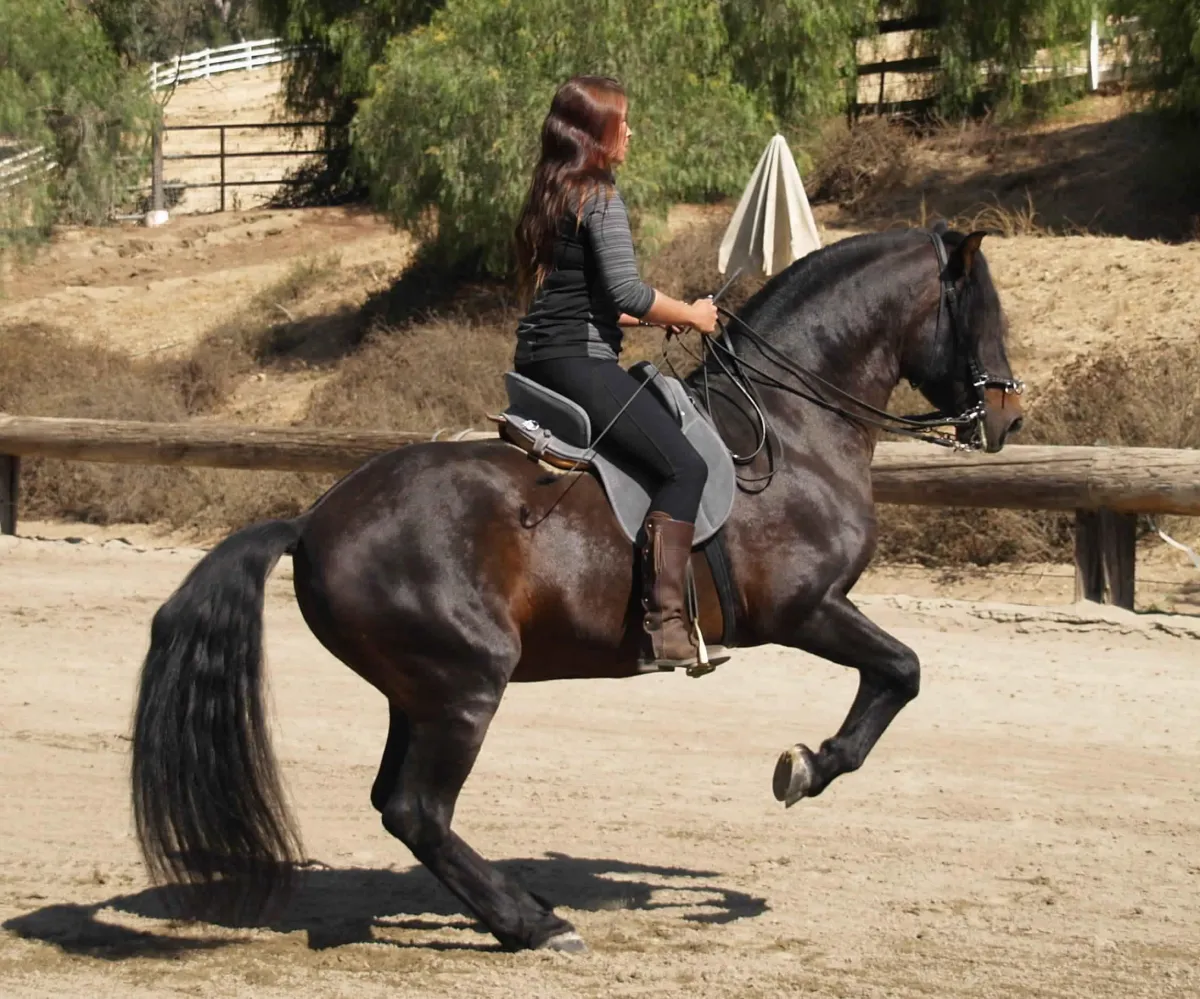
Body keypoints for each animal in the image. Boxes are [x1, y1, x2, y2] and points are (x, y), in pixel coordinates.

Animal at [138, 225, 1022, 950]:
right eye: (985, 313)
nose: (1008, 419)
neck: (790, 430)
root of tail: (313, 520)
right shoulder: (805, 609)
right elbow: (902, 670)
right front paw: (808, 766)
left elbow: (897, 672)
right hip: (465, 685)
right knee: (418, 810)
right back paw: (534, 924)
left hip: (419, 692)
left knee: (399, 803)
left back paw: (519, 909)